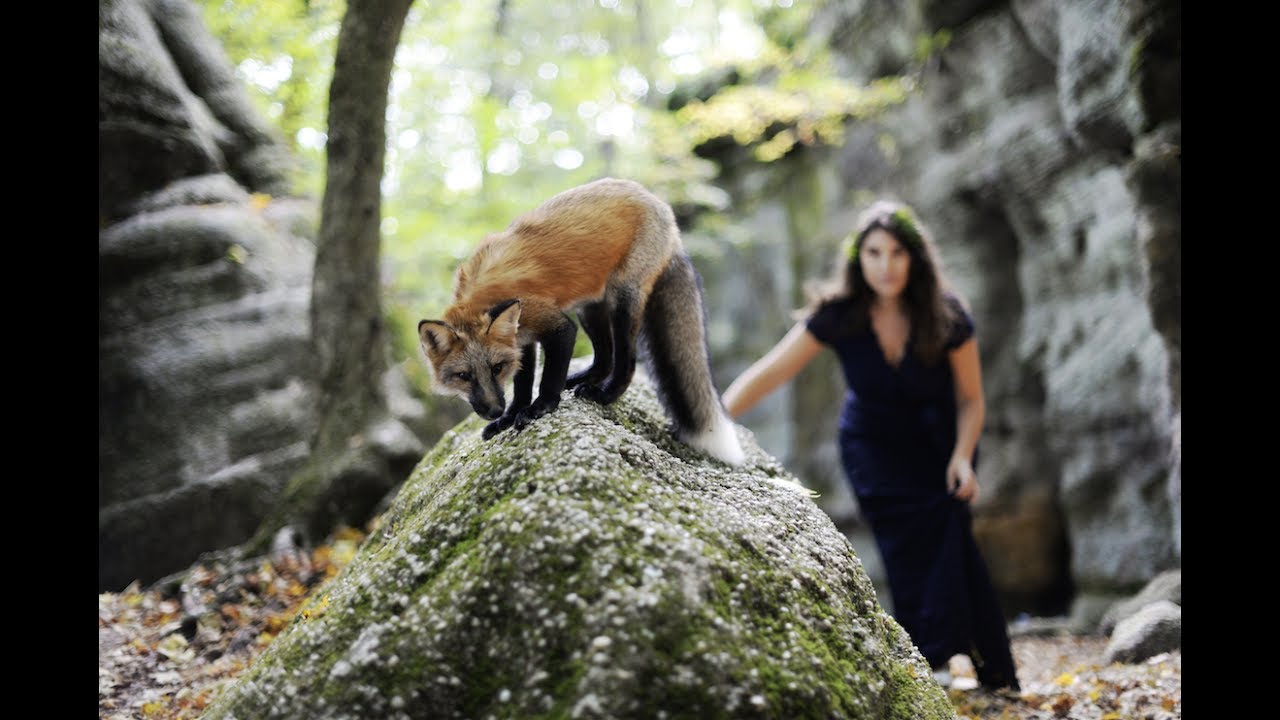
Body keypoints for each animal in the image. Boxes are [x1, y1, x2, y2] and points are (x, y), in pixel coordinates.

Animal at [417, 177, 745, 466]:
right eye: (464, 376)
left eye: (496, 368)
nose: (495, 410)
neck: (480, 297)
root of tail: (660, 205)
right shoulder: (521, 339)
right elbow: (522, 385)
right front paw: (511, 416)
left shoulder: (554, 324)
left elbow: (547, 378)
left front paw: (541, 407)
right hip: (591, 309)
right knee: (605, 358)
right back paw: (584, 380)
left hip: (622, 301)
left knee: (626, 361)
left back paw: (606, 394)